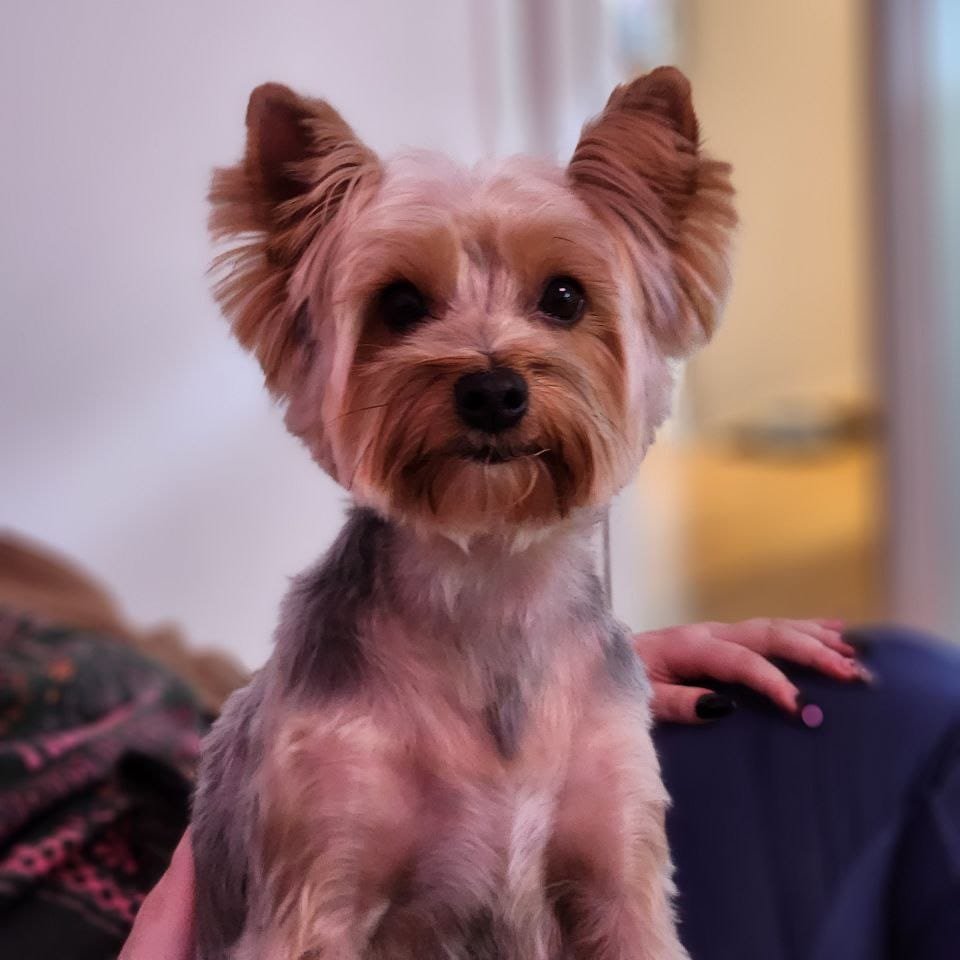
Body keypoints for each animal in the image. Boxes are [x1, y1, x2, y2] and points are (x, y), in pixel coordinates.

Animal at [193, 67, 736, 960]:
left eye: (564, 296)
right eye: (399, 304)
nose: (491, 390)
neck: (486, 580)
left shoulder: (618, 869)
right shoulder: (317, 878)